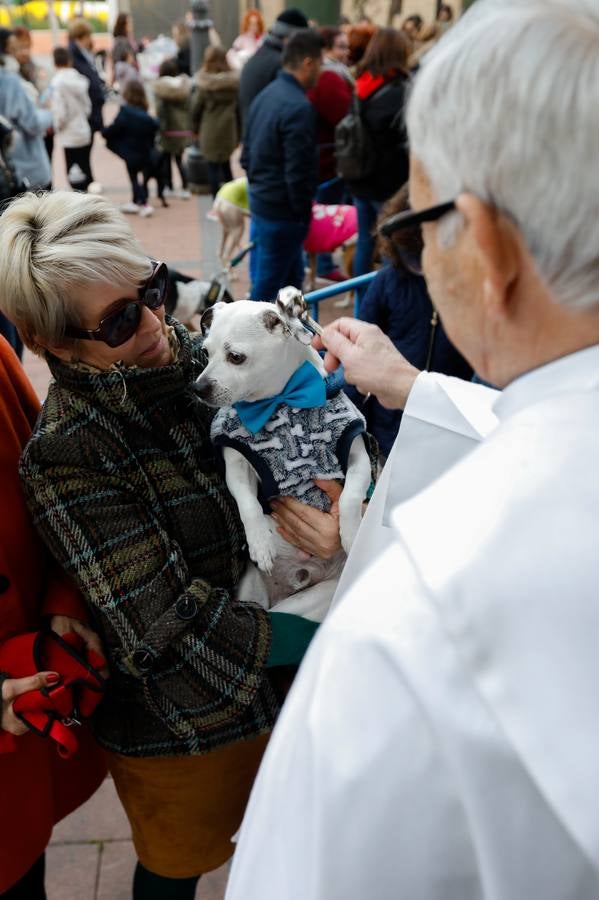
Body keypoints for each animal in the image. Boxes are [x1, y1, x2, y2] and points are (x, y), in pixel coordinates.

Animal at [196, 292, 376, 616]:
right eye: (205, 353)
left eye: (236, 357)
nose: (198, 387)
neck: (282, 401)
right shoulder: (237, 464)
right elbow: (248, 504)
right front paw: (259, 542)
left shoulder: (356, 453)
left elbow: (350, 497)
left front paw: (351, 533)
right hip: (253, 592)